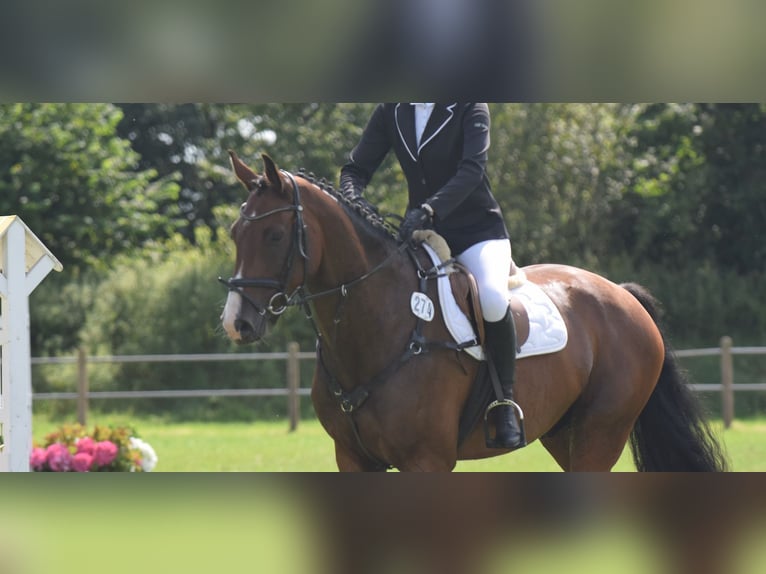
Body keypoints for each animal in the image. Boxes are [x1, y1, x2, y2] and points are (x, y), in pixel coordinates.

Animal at [220, 151, 727, 472]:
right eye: (233, 234)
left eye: (274, 236)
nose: (237, 323)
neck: (378, 326)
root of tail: (621, 295)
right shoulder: (353, 459)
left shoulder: (426, 460)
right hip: (562, 433)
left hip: (601, 432)